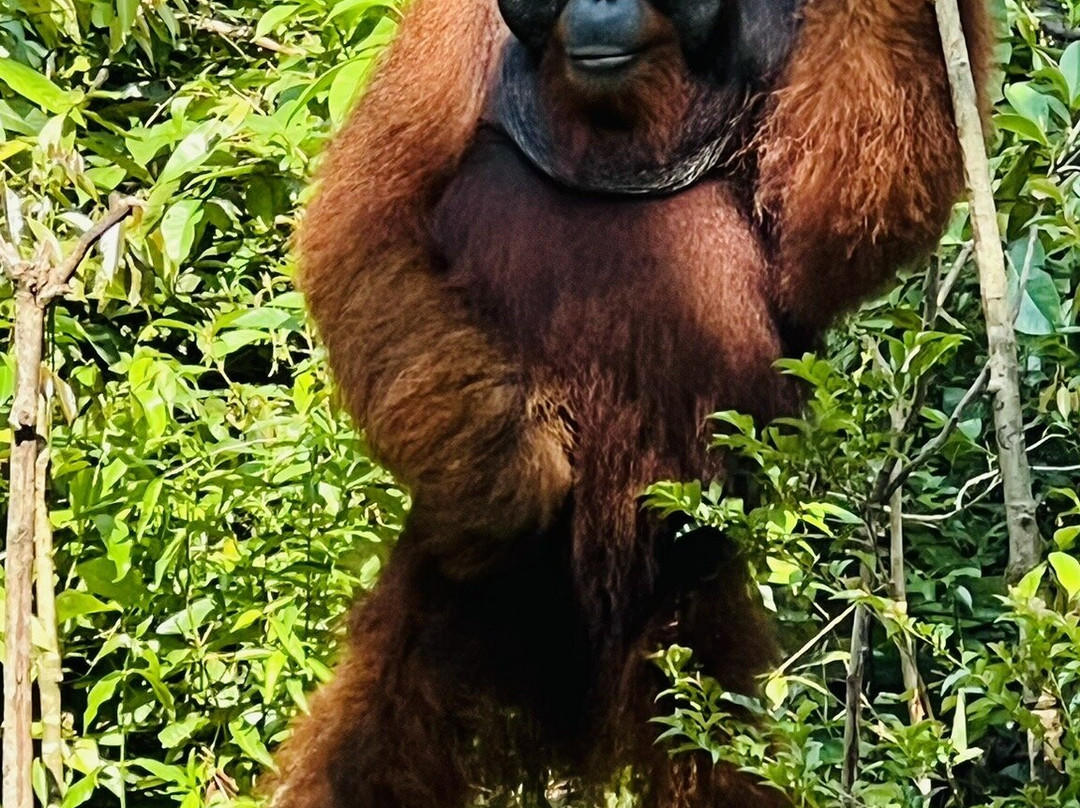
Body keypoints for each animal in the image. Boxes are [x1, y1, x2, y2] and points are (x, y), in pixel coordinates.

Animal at [272, 1, 992, 806]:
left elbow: (826, 227)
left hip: (685, 600)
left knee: (720, 746)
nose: (600, 7)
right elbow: (371, 219)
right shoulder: (448, 25)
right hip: (453, 589)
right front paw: (510, 479)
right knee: (367, 742)